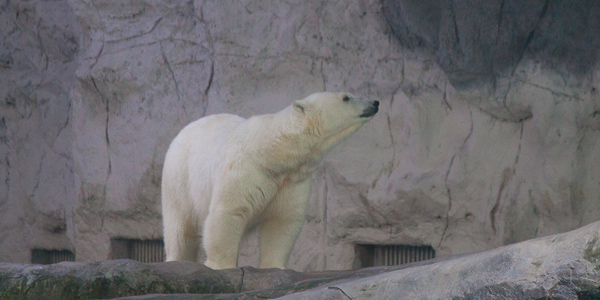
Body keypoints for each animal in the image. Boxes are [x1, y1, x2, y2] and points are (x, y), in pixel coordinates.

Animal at [162, 92, 378, 270]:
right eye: (346, 97)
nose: (375, 102)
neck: (272, 151)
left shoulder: (292, 180)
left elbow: (281, 220)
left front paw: (275, 267)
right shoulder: (245, 169)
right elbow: (228, 211)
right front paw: (221, 266)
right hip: (178, 179)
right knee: (179, 228)